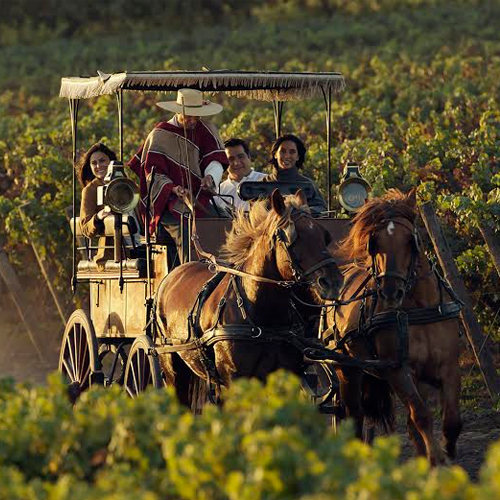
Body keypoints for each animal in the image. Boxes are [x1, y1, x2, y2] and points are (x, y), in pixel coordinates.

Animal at [155, 189, 344, 409]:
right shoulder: (234, 380)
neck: (262, 317)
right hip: (172, 365)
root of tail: (173, 274)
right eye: (290, 237)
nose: (334, 282)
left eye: (325, 236)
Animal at [327, 188, 462, 465]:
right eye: (374, 243)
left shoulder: (449, 365)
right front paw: (436, 459)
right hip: (347, 370)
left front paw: (446, 454)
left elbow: (451, 422)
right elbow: (421, 415)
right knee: (355, 416)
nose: (390, 292)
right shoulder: (397, 369)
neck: (418, 308)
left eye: (410, 241)